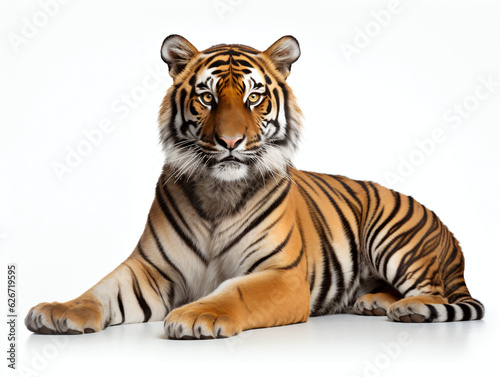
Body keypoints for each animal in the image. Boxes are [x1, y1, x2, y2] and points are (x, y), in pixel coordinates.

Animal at [26, 34, 484, 338]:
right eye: (207, 98)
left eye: (253, 98)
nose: (230, 141)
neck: (219, 192)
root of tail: (452, 236)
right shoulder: (151, 269)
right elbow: (100, 291)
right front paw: (56, 311)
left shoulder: (280, 274)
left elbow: (235, 293)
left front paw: (195, 316)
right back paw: (372, 302)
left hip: (395, 239)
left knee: (436, 294)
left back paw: (407, 309)